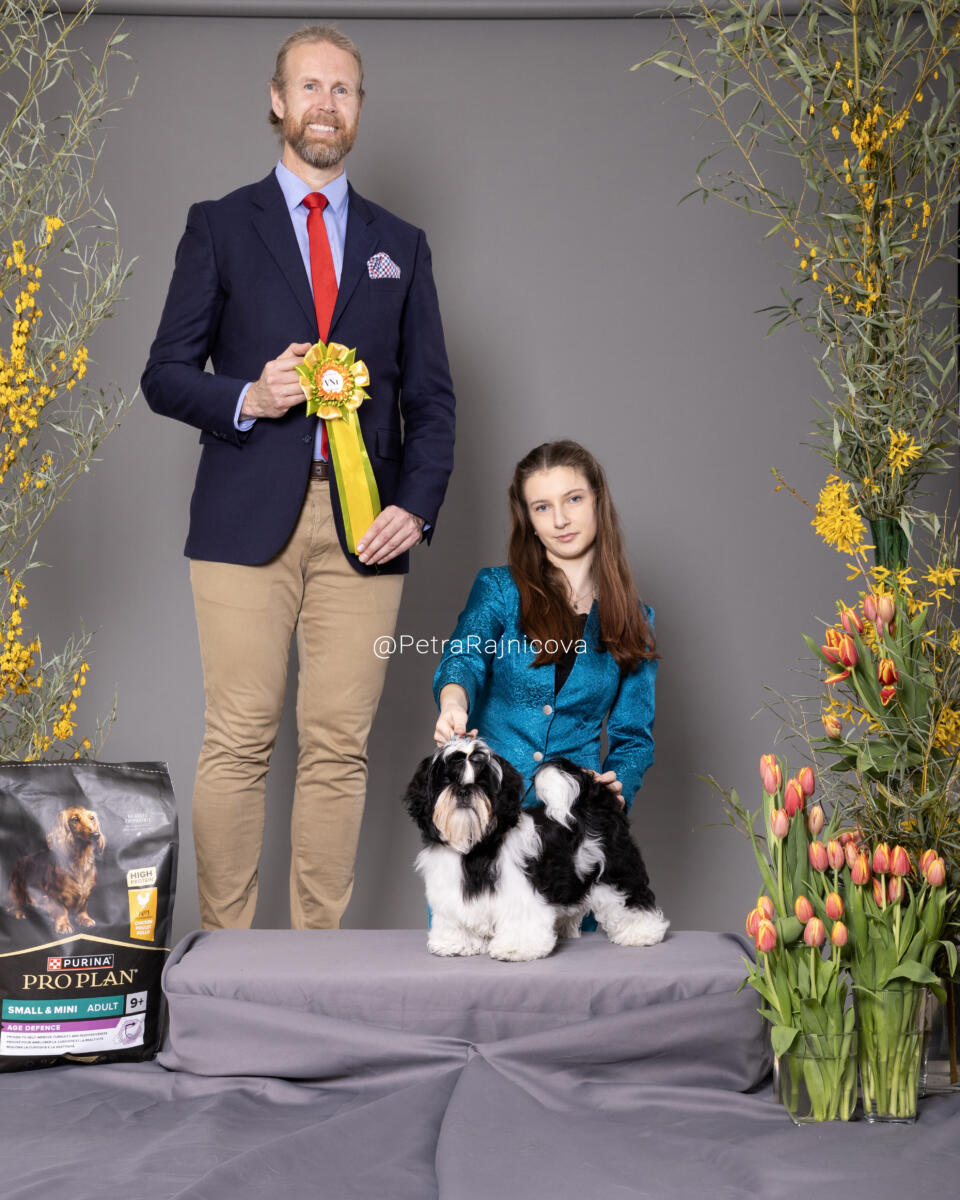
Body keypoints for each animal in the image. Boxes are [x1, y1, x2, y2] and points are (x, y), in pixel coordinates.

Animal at [7, 807, 106, 936]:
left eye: (92, 818)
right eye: (75, 819)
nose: (96, 835)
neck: (79, 862)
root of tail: (21, 859)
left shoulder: (86, 892)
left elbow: (83, 907)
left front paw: (84, 919)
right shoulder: (54, 894)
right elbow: (61, 910)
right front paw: (64, 925)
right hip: (16, 889)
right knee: (13, 905)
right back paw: (18, 912)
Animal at [403, 738, 668, 961]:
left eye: (483, 782)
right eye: (447, 781)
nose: (464, 789)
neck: (477, 845)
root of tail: (596, 804)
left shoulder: (520, 893)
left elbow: (520, 920)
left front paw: (515, 948)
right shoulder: (452, 892)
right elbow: (456, 919)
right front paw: (456, 943)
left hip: (615, 870)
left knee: (630, 899)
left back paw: (642, 931)